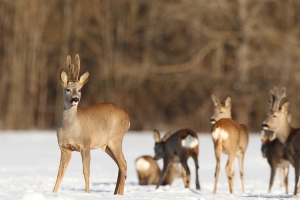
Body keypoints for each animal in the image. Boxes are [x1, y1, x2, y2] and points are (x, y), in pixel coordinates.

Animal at [52, 54, 130, 195]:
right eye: (67, 89)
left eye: (79, 90)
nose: (75, 99)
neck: (71, 129)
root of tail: (128, 117)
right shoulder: (65, 148)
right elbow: (60, 173)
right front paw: (53, 193)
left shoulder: (85, 144)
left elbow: (86, 172)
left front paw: (87, 194)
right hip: (107, 145)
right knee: (120, 165)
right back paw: (116, 193)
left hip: (116, 139)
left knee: (123, 163)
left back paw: (119, 194)